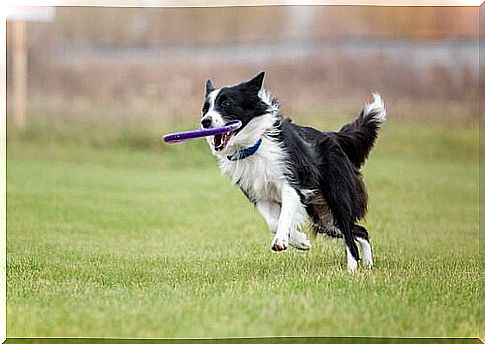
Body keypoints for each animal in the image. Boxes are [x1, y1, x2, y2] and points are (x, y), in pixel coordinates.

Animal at [200, 72, 386, 272]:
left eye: (226, 104)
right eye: (205, 109)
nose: (205, 122)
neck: (254, 145)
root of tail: (334, 136)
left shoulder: (291, 183)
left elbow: (284, 215)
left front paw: (282, 241)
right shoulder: (260, 195)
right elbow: (273, 222)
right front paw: (300, 241)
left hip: (336, 196)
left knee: (349, 234)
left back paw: (352, 269)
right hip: (324, 217)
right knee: (360, 231)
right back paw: (368, 264)